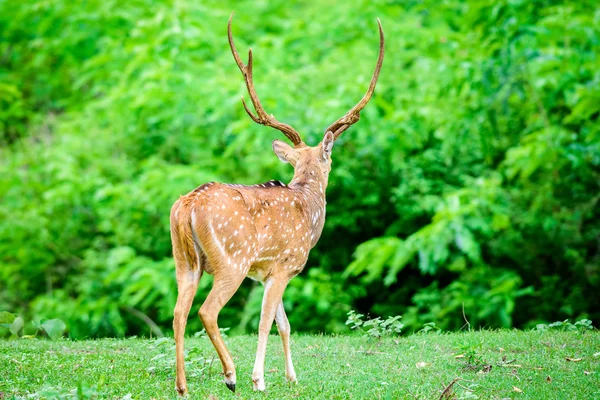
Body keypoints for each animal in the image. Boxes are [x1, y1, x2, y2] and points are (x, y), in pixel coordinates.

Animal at [170, 14, 384, 396]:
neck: (309, 210)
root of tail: (187, 205)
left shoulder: (269, 271)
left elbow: (283, 323)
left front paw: (291, 376)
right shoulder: (286, 265)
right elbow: (265, 321)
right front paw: (259, 379)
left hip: (185, 260)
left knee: (179, 312)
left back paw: (182, 386)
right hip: (232, 260)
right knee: (207, 311)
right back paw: (231, 376)